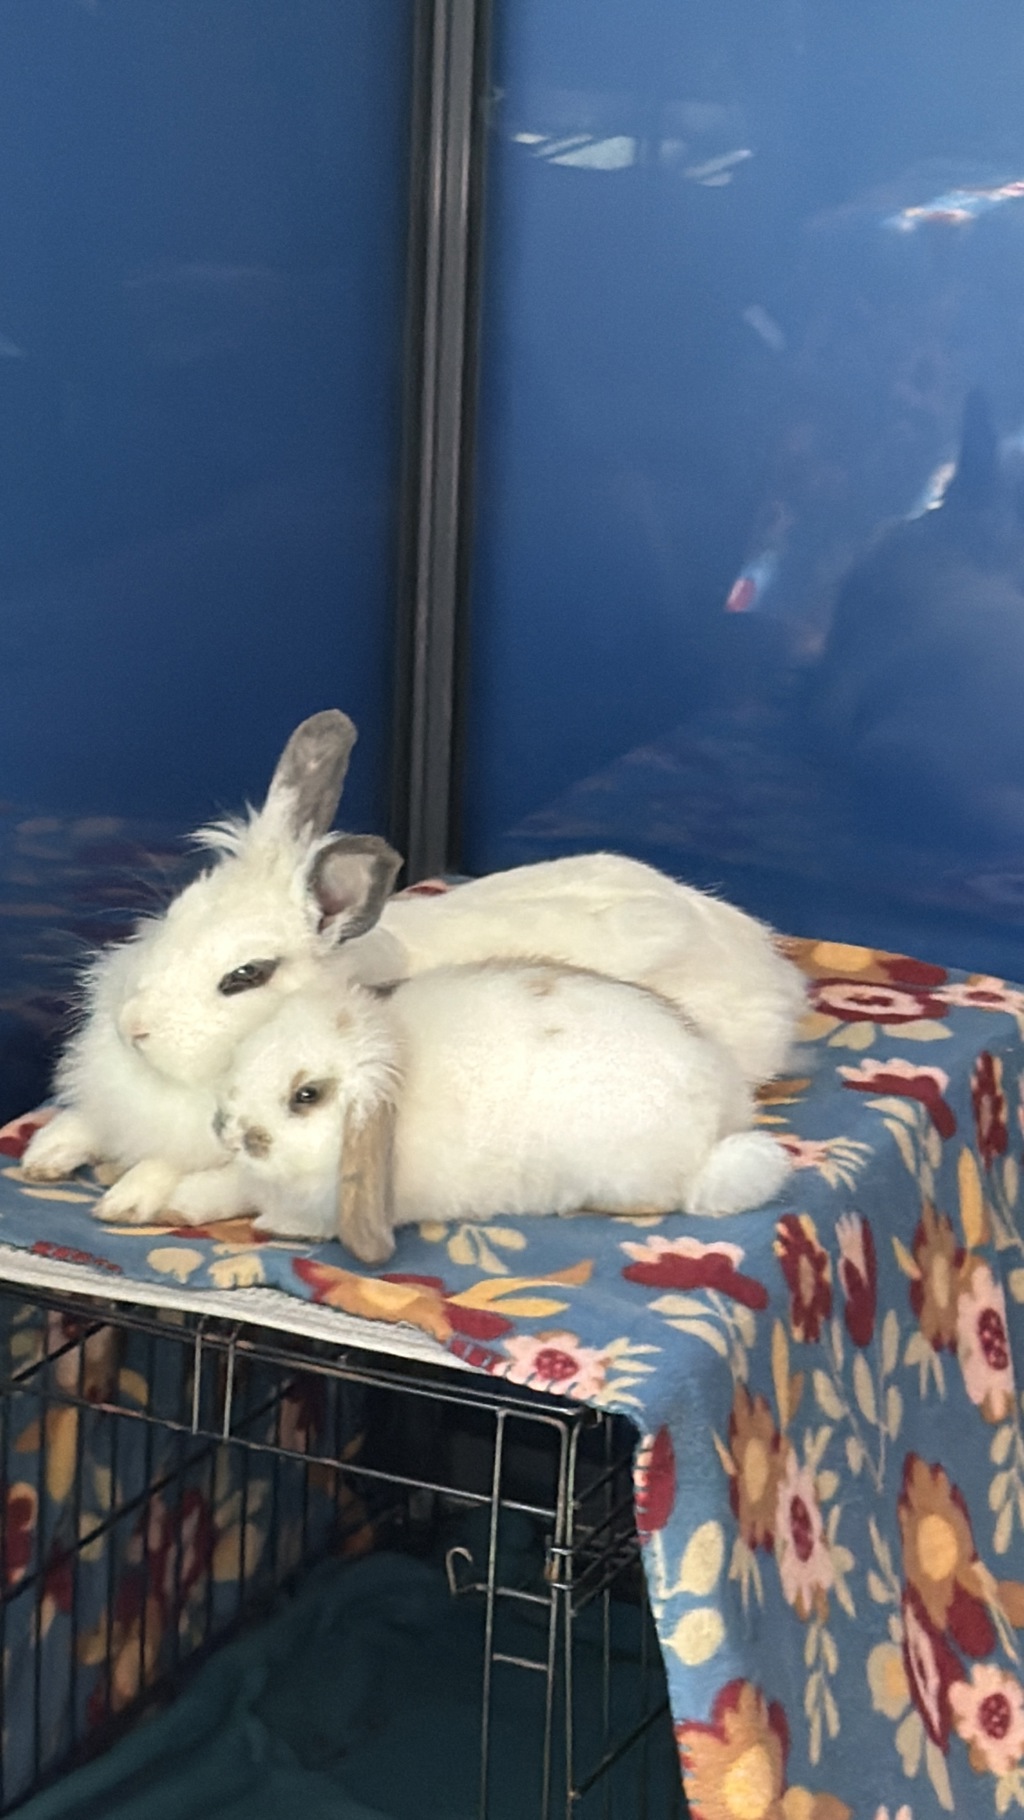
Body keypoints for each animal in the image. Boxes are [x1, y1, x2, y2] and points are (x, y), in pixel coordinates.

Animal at [21, 708, 803, 1229]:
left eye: (246, 975)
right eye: (175, 914)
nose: (133, 1028)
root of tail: (770, 964)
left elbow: (192, 1167)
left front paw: (129, 1195)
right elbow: (89, 1121)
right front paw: (45, 1155)